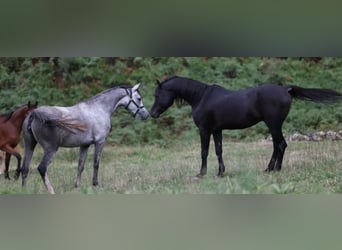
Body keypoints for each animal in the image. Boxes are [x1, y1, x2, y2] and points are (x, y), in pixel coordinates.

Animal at [150, 76, 342, 178]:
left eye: (157, 94)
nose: (152, 113)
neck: (201, 97)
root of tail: (286, 89)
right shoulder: (217, 130)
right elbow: (218, 150)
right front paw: (220, 173)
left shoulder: (204, 130)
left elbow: (204, 151)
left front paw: (201, 174)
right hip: (274, 125)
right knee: (277, 145)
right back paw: (269, 169)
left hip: (273, 124)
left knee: (280, 144)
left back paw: (274, 170)